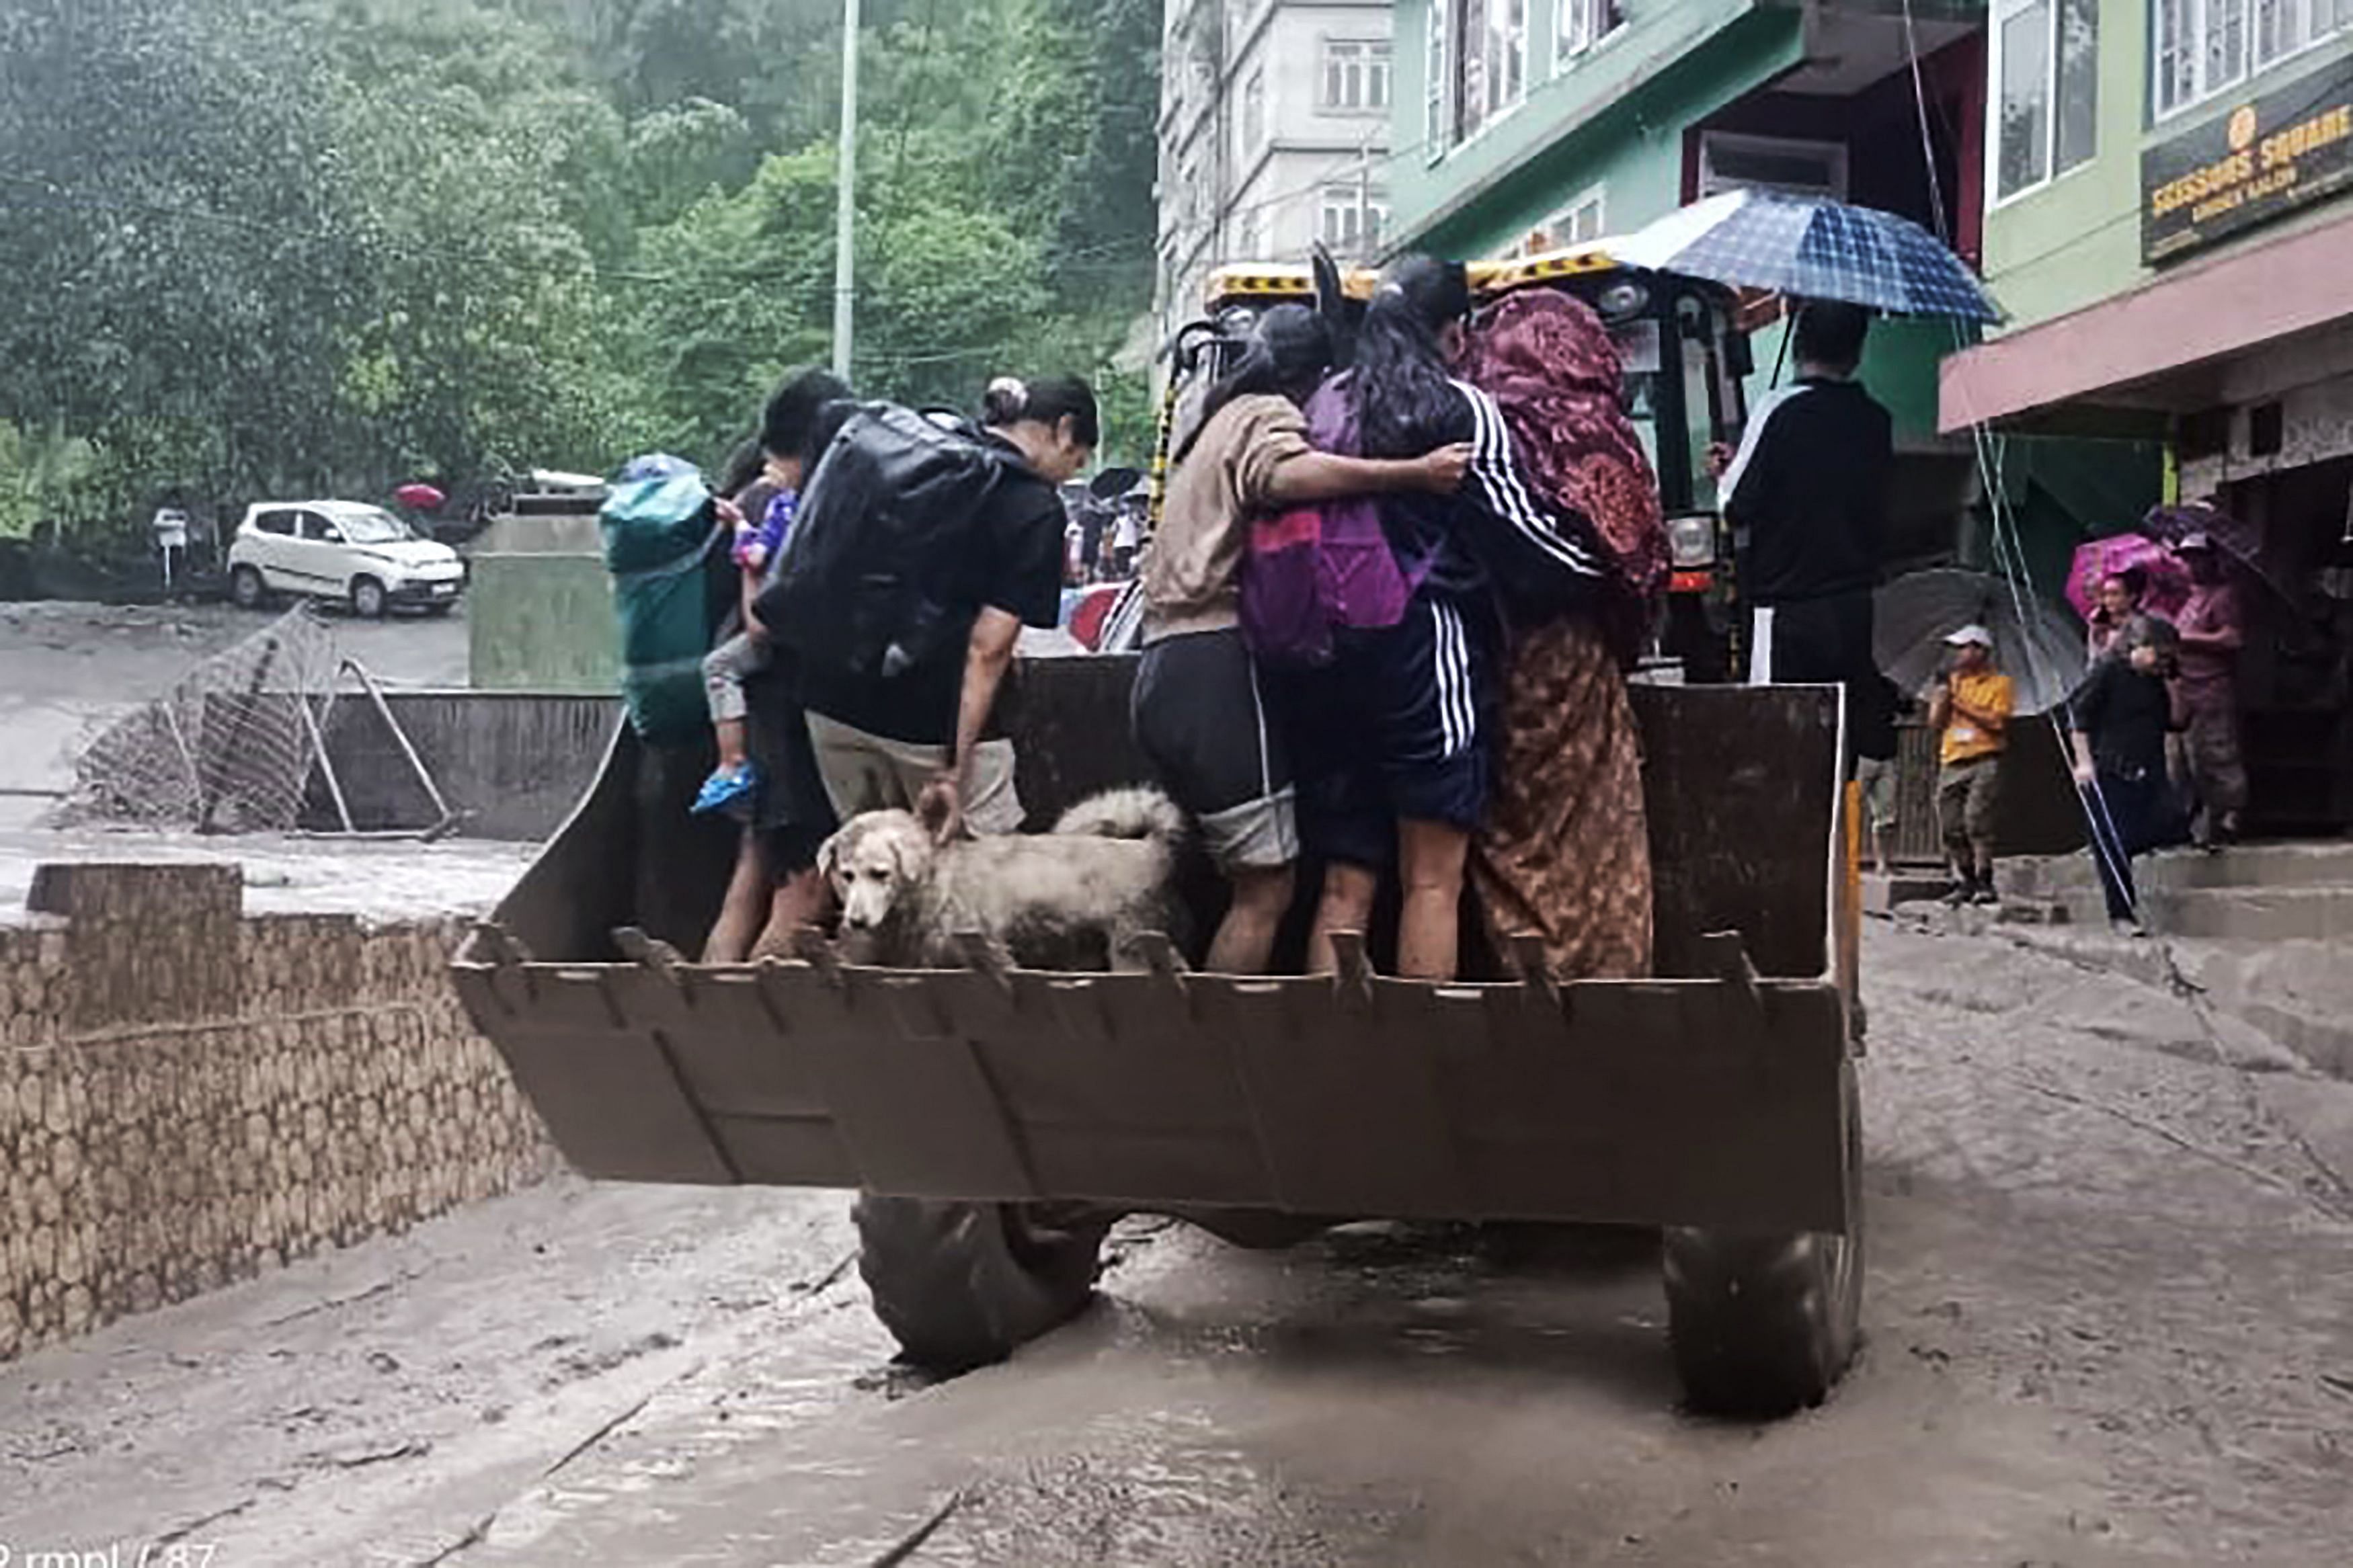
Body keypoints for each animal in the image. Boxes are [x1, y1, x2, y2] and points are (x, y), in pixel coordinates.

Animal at [824, 790, 1195, 973]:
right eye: (847, 875)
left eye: (880, 873)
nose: (855, 922)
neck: (940, 881)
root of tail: (1150, 847)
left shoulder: (990, 951)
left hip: (1130, 945)